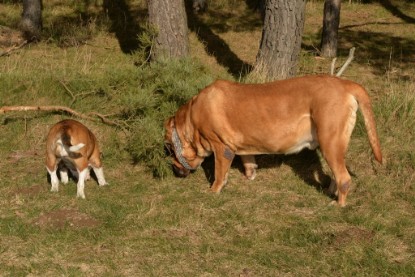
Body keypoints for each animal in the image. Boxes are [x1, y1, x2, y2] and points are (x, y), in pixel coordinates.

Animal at [165, 74, 384, 206]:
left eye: (169, 149)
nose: (173, 169)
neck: (191, 119)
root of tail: (346, 84)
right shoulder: (241, 146)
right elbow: (247, 159)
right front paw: (249, 174)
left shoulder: (222, 147)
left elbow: (219, 172)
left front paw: (214, 190)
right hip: (330, 145)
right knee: (336, 174)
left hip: (330, 141)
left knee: (344, 178)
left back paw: (338, 203)